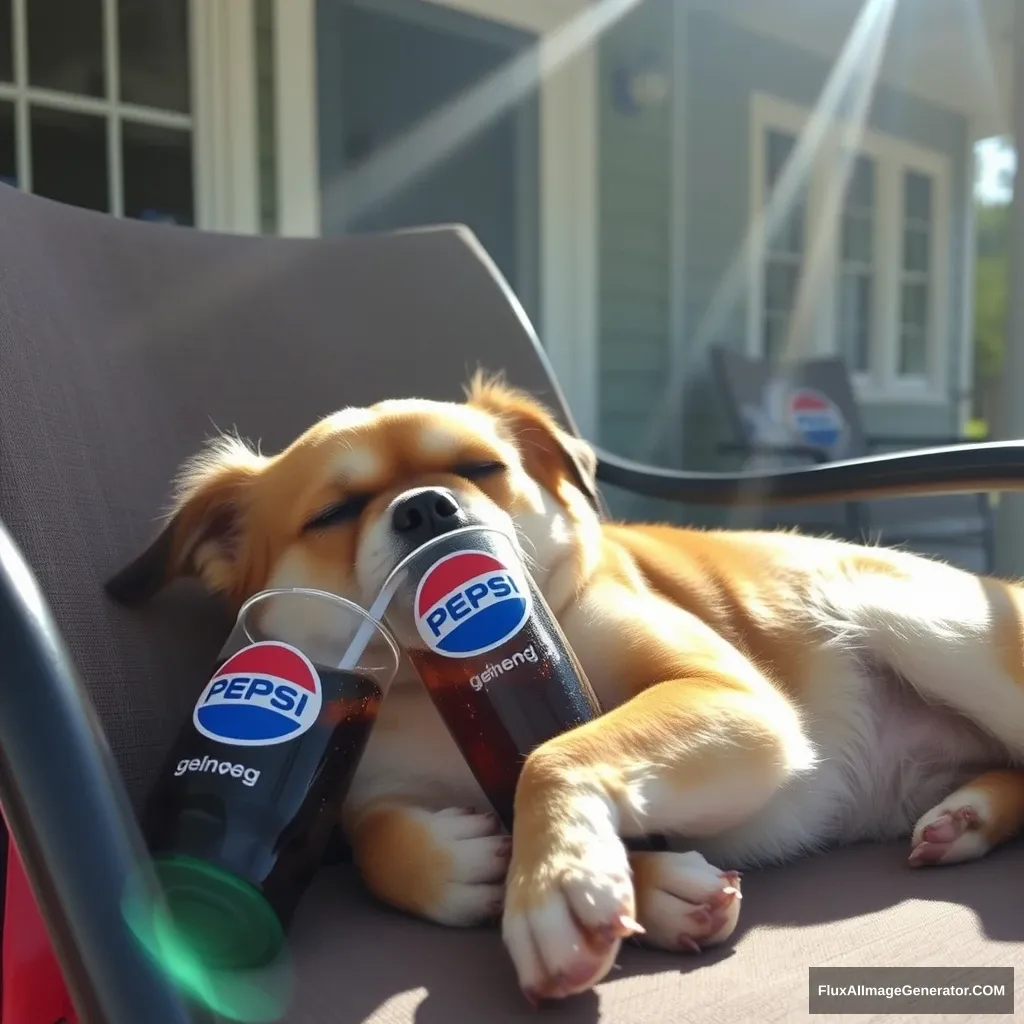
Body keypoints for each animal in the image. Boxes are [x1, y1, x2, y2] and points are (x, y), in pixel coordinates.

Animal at [108, 374, 1024, 999]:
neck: (428, 694)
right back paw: (966, 817)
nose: (428, 506)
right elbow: (378, 840)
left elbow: (556, 755)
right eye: (334, 513)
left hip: (924, 624)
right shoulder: (364, 780)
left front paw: (553, 882)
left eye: (483, 467)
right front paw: (481, 865)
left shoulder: (728, 700)